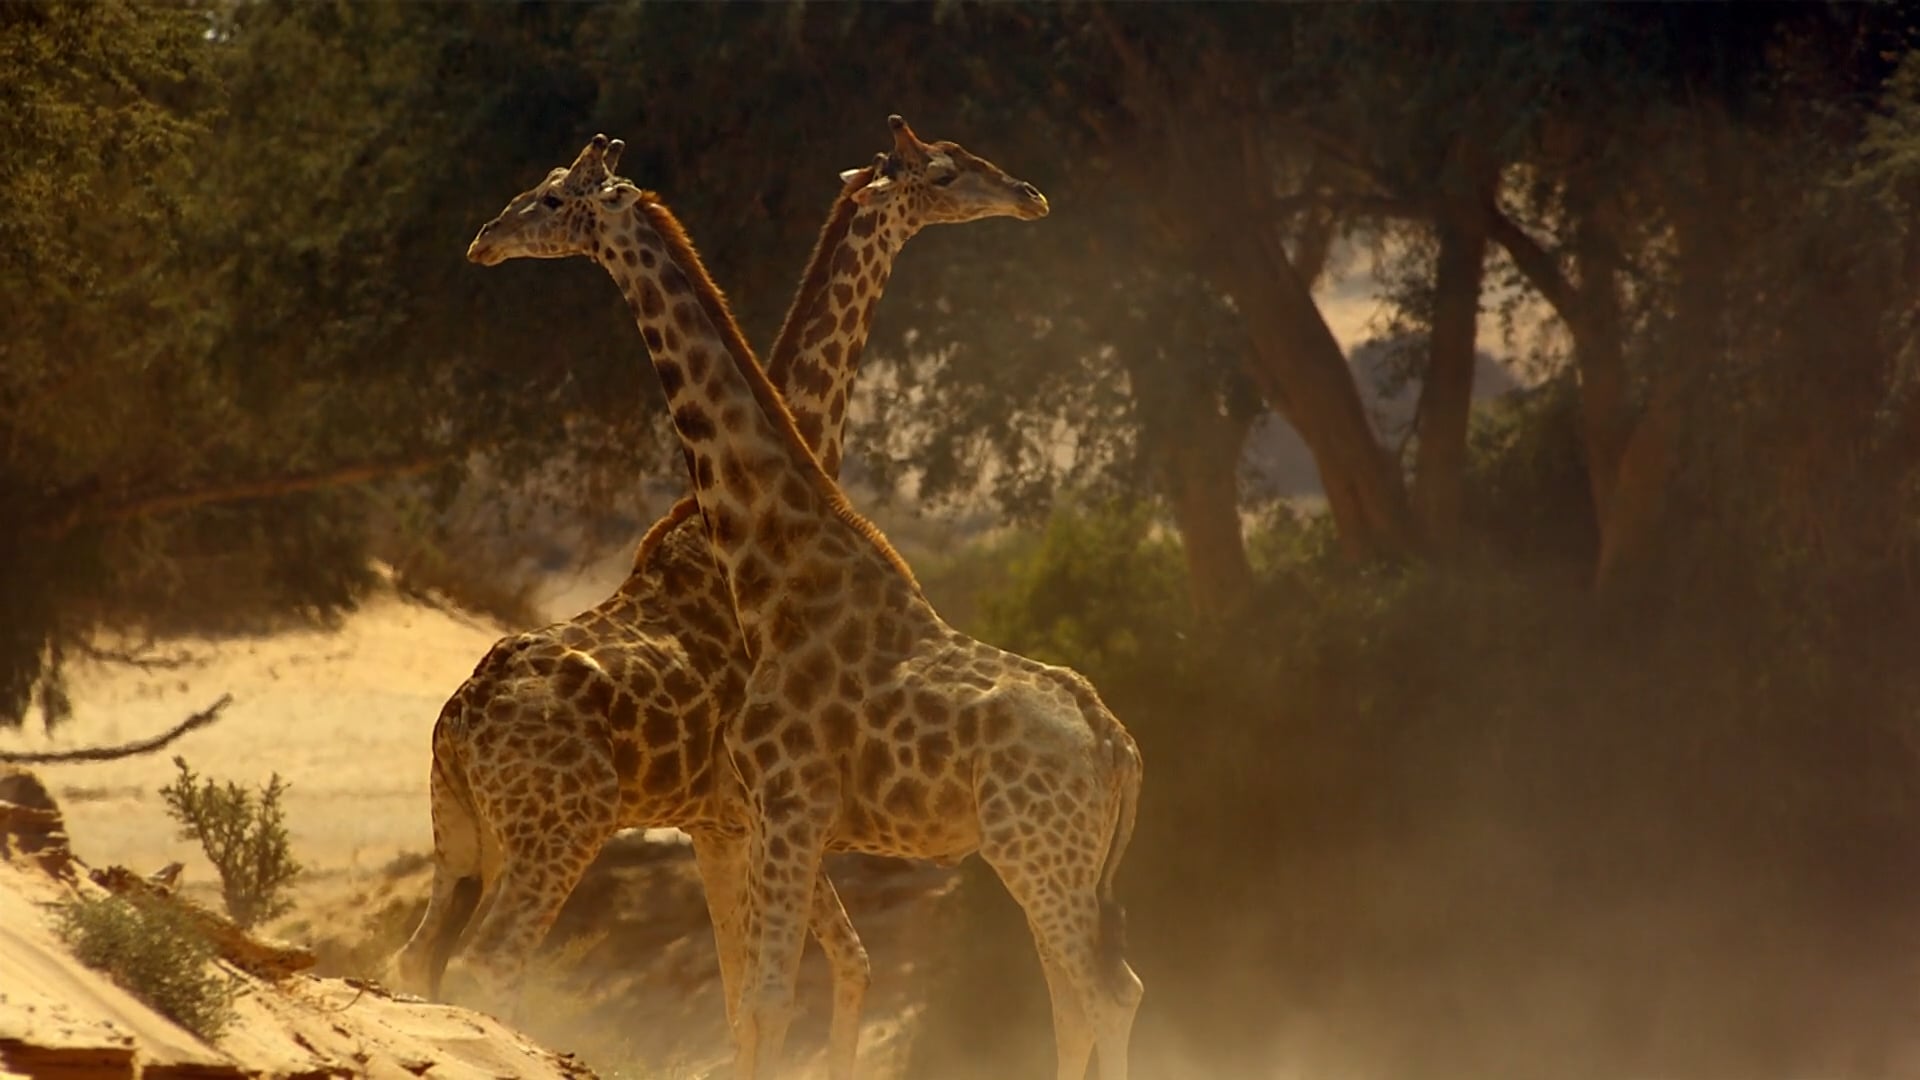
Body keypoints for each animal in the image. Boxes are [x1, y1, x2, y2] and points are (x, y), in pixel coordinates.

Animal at [465, 134, 1143, 1080]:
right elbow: (769, 995)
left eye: (555, 197)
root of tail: (1117, 745)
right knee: (1083, 995)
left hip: (1043, 853)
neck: (770, 568)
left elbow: (768, 997)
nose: (484, 238)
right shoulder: (763, 820)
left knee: (1104, 992)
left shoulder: (779, 812)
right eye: (947, 169)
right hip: (1049, 859)